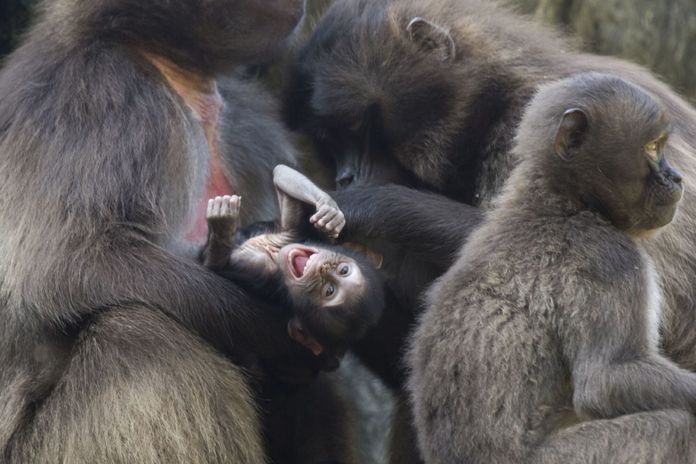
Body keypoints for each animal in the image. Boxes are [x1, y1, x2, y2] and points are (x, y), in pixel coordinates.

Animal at [407, 73, 696, 464]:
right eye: (653, 148)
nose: (677, 178)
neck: (564, 201)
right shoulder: (610, 256)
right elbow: (605, 381)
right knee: (676, 427)